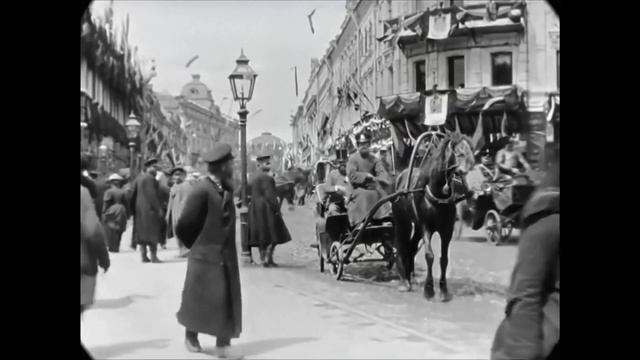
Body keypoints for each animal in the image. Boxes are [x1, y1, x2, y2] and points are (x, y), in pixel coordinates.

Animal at [390, 132, 476, 300]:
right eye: (459, 151)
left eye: (469, 148)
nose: (471, 165)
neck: (437, 193)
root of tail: (400, 177)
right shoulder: (426, 227)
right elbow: (429, 256)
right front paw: (429, 289)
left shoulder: (447, 230)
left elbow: (444, 259)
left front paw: (443, 290)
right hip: (402, 220)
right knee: (401, 245)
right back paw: (404, 281)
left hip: (416, 226)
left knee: (410, 247)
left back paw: (411, 277)